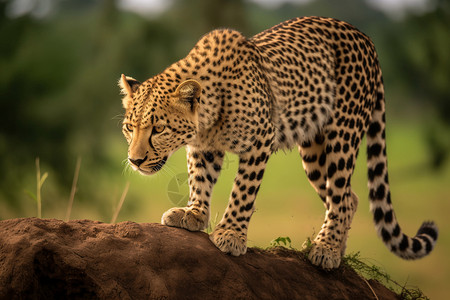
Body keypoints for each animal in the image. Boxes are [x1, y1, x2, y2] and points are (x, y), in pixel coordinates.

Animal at [118, 17, 438, 270]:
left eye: (158, 128)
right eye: (129, 128)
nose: (135, 160)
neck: (209, 114)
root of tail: (365, 38)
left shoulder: (260, 139)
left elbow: (243, 190)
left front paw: (231, 235)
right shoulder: (202, 147)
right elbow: (200, 179)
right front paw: (194, 214)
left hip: (343, 135)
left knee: (340, 194)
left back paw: (326, 250)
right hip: (314, 154)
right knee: (349, 198)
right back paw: (338, 252)